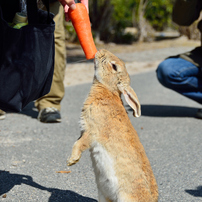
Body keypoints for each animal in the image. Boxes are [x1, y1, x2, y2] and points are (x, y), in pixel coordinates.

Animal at [67, 49, 159, 202]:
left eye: (114, 66)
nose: (100, 51)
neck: (108, 90)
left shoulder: (93, 132)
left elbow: (80, 144)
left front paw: (71, 161)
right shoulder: (84, 130)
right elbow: (77, 141)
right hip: (103, 194)